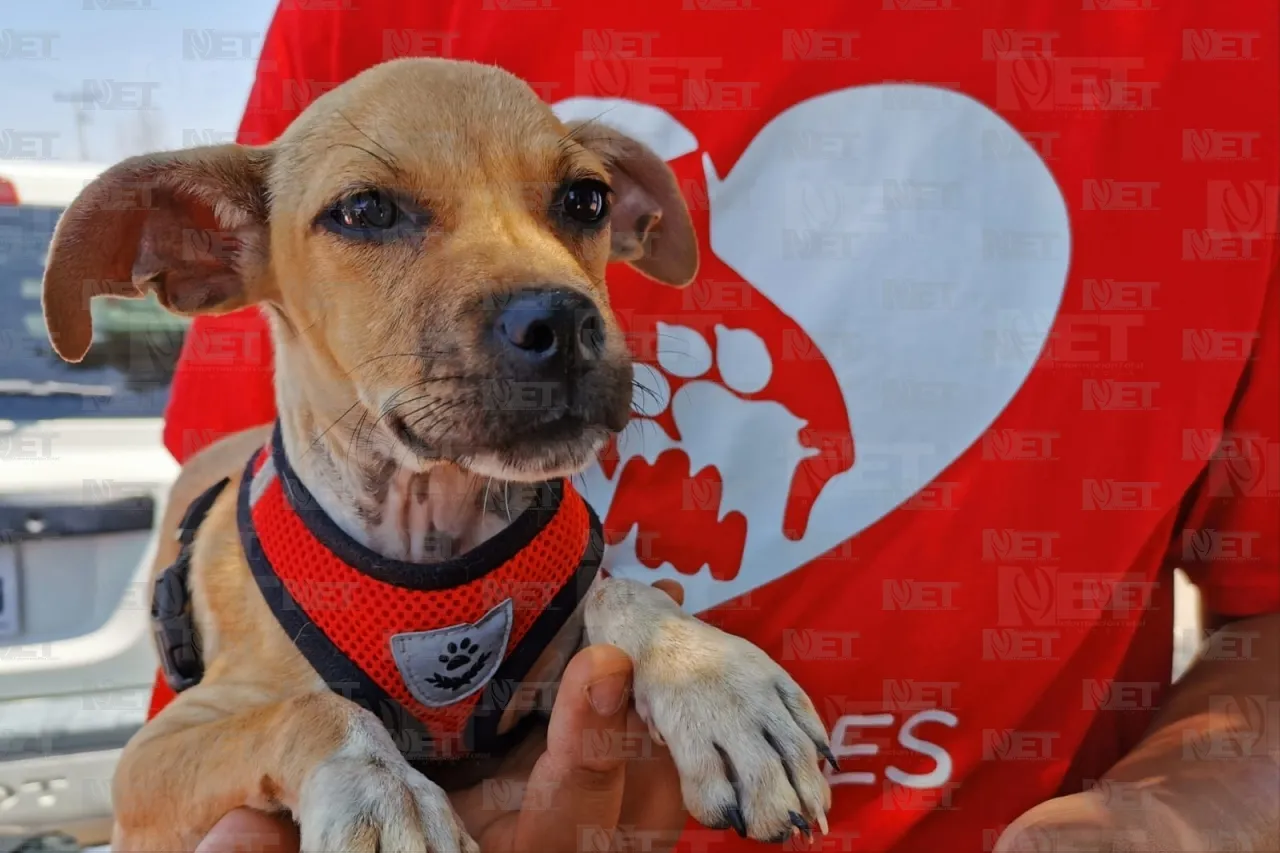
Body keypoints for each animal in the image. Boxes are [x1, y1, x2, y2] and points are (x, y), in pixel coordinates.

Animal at [40, 59, 834, 850]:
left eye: (587, 199)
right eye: (364, 210)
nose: (562, 323)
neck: (430, 525)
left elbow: (615, 589)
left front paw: (714, 678)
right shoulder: (149, 760)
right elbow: (311, 710)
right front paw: (382, 792)